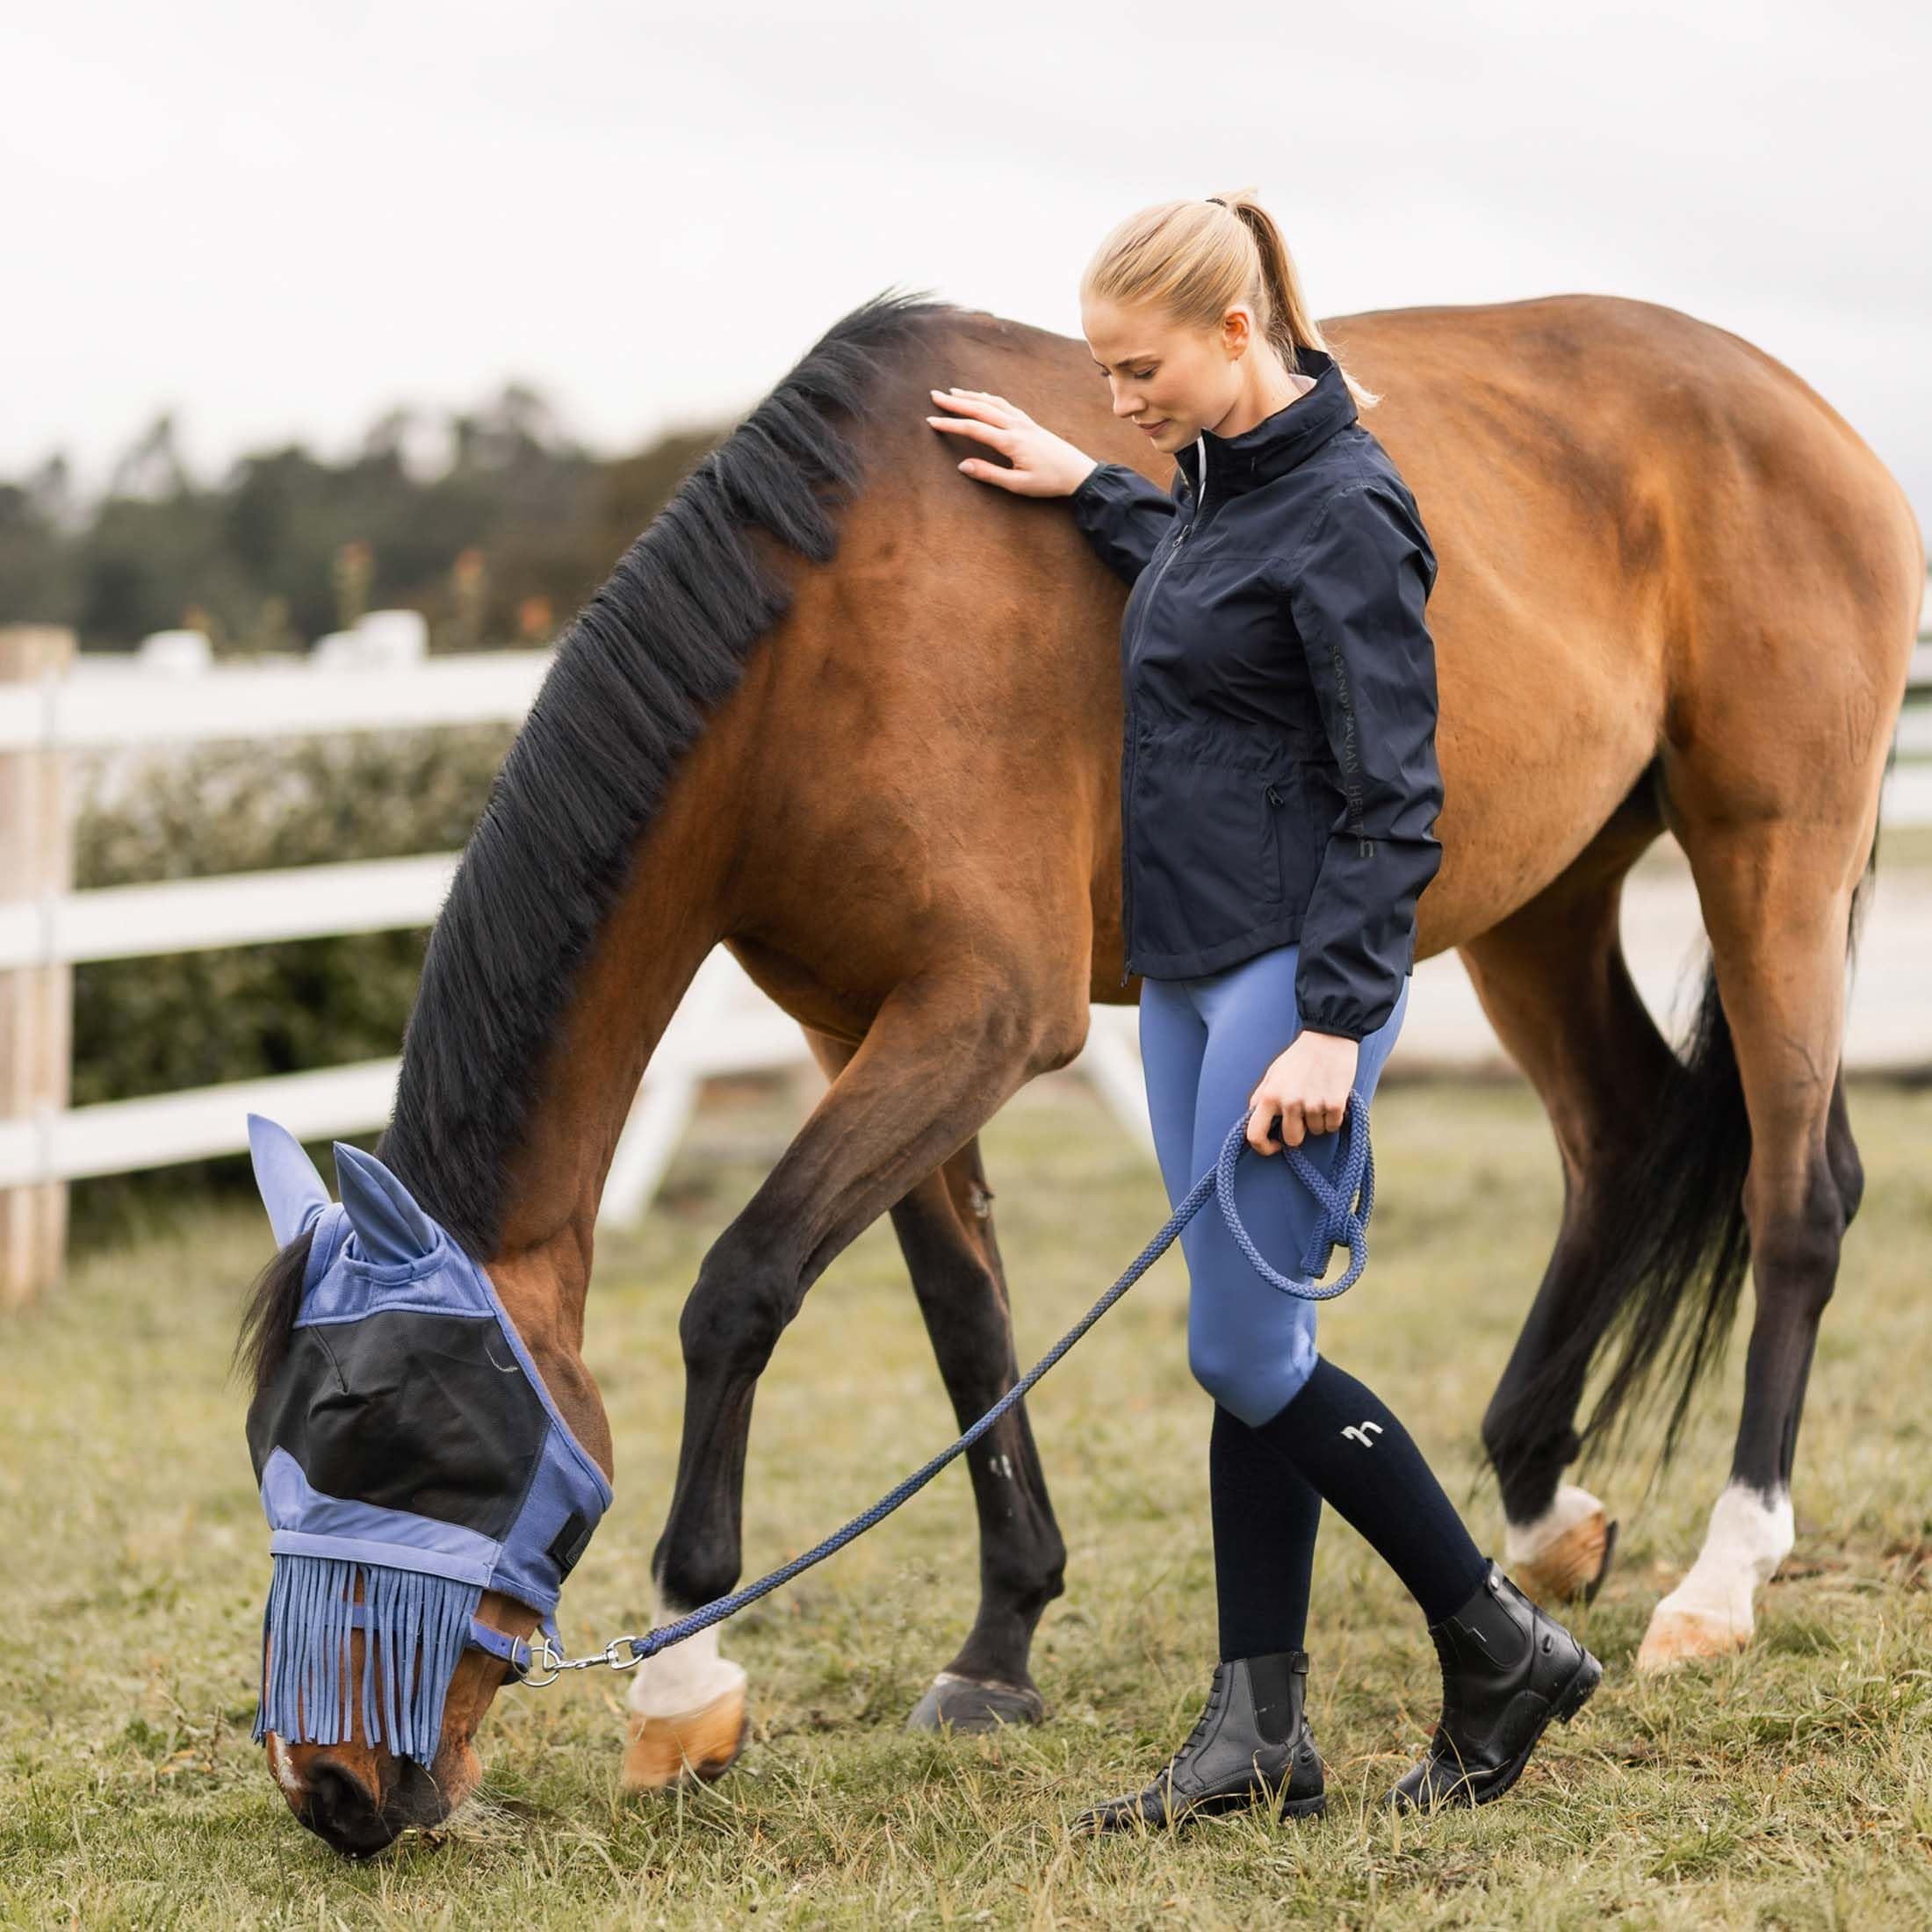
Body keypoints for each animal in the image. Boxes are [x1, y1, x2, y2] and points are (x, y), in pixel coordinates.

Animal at [237, 285, 1923, 1850]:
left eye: (395, 1434)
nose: (332, 1789)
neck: (830, 619)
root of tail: (1807, 414)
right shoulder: (861, 1024)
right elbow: (965, 1320)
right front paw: (1000, 1646)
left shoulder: (985, 1015)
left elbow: (742, 1289)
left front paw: (683, 1686)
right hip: (1541, 898)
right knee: (1625, 1139)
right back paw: (1541, 1508)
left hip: (1769, 853)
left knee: (1799, 1194)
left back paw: (1724, 1578)